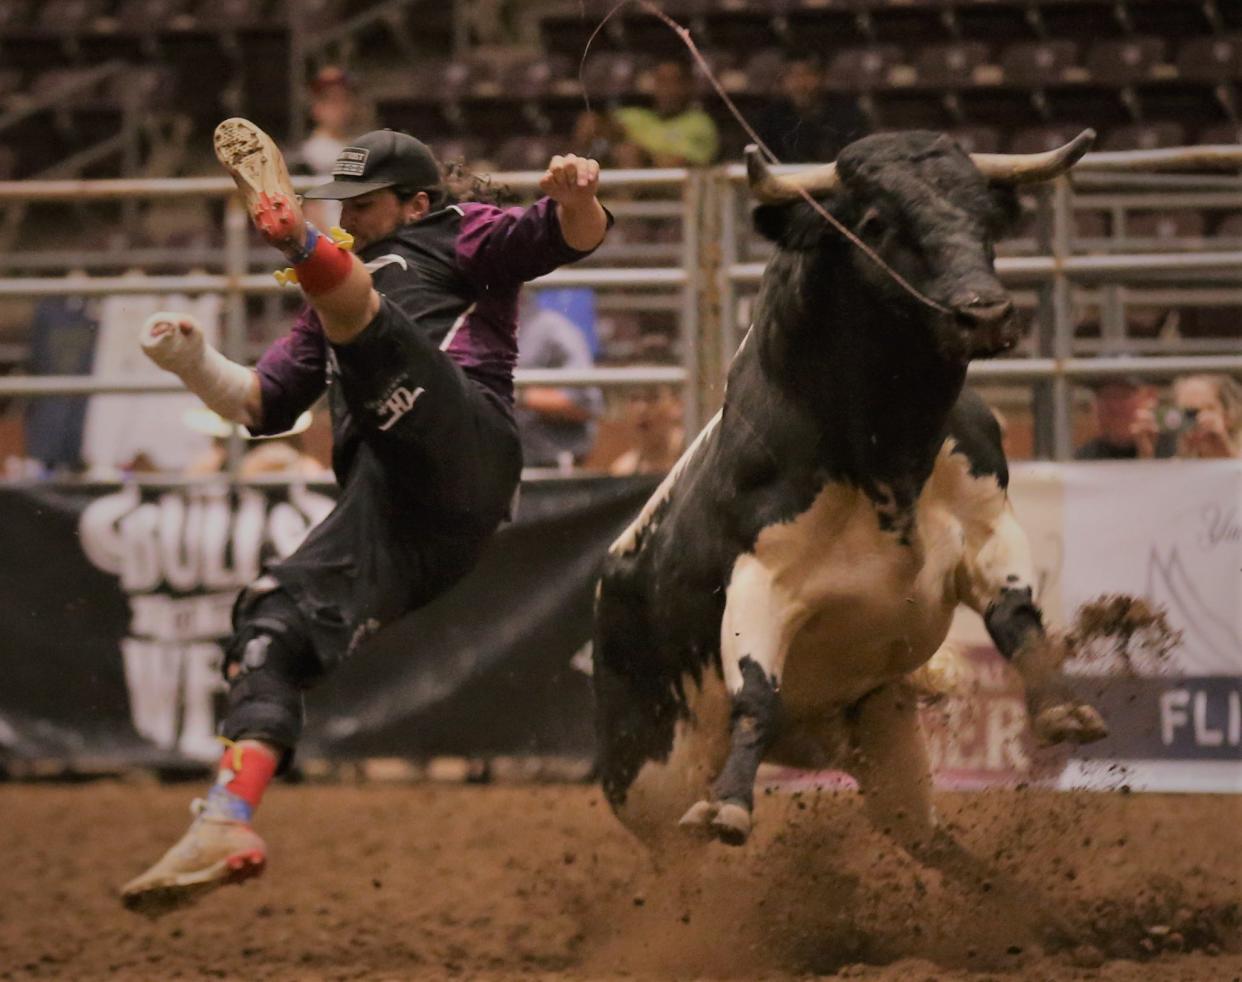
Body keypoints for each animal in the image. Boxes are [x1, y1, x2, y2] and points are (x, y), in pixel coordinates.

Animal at [591, 130, 1107, 859]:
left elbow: (1016, 616)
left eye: (986, 218)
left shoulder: (989, 528)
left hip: (885, 740)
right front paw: (731, 806)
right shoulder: (760, 578)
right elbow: (757, 688)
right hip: (650, 791)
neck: (886, 455)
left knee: (932, 841)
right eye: (874, 222)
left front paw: (1063, 709)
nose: (985, 313)